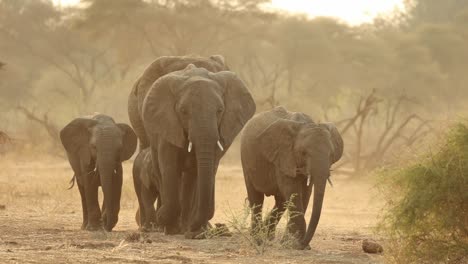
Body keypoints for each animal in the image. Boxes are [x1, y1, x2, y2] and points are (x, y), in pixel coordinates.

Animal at [132, 61, 256, 237]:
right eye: (183, 111)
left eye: (220, 110)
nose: (160, 216)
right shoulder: (168, 124)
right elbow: (169, 166)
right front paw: (168, 225)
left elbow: (201, 169)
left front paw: (191, 230)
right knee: (161, 171)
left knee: (190, 177)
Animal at [239, 105, 342, 250]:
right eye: (304, 153)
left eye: (331, 154)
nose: (305, 246)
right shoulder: (283, 155)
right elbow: (293, 190)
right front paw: (294, 244)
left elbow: (306, 192)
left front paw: (290, 243)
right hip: (246, 160)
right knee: (256, 198)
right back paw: (258, 240)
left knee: (281, 202)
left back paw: (268, 238)